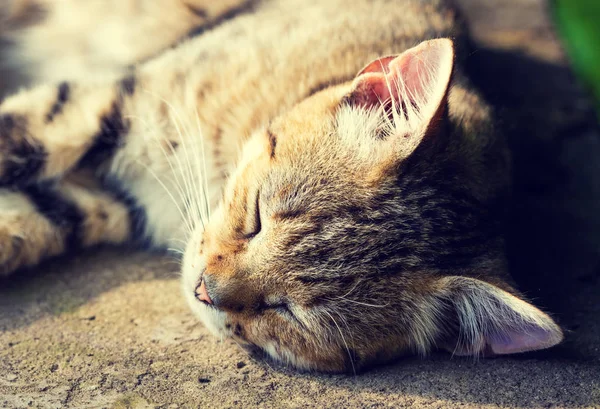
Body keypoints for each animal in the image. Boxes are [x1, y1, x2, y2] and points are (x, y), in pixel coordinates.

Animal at [0, 0, 564, 372]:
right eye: (257, 217)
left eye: (288, 312)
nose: (203, 291)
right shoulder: (116, 101)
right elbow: (18, 137)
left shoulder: (101, 197)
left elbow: (23, 220)